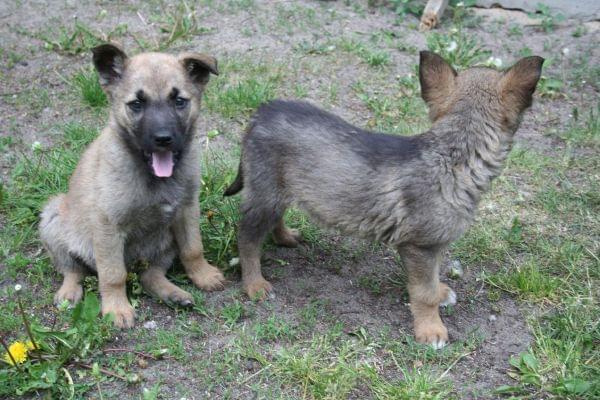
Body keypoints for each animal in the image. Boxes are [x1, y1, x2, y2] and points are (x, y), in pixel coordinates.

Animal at [39, 43, 226, 328]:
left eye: (179, 101)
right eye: (136, 104)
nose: (163, 139)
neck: (155, 177)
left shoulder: (187, 209)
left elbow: (193, 248)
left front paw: (203, 274)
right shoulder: (108, 225)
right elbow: (113, 274)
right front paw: (116, 309)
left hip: (164, 243)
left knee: (151, 275)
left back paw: (173, 294)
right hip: (53, 218)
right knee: (73, 269)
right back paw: (69, 293)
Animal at [225, 52, 544, 346]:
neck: (454, 152)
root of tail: (261, 113)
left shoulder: (433, 246)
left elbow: (433, 279)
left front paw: (441, 292)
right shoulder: (419, 247)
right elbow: (423, 292)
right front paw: (431, 329)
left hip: (279, 189)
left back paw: (286, 237)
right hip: (265, 193)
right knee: (247, 238)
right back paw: (254, 284)